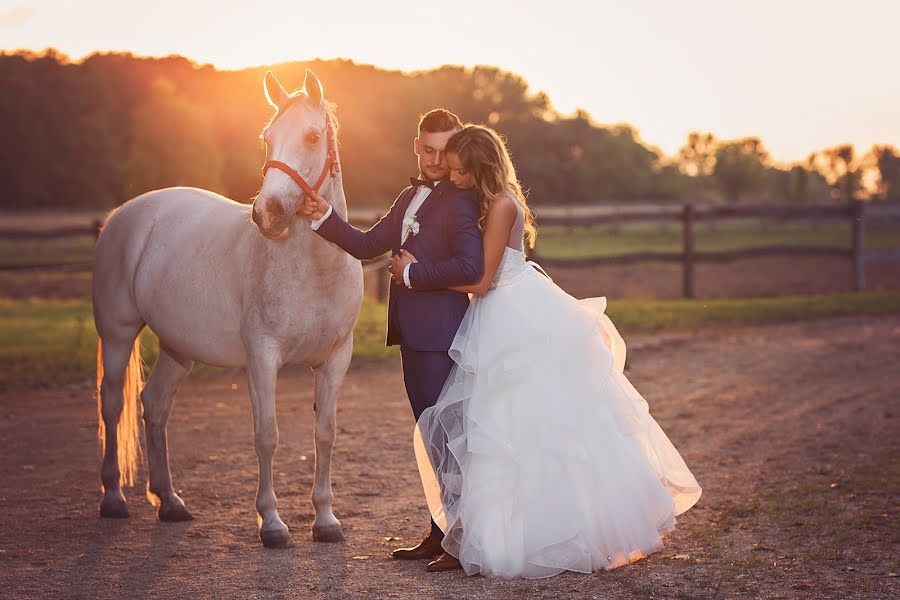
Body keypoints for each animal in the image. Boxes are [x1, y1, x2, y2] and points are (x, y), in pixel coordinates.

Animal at [94, 70, 362, 548]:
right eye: (266, 138)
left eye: (312, 136)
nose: (267, 213)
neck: (314, 269)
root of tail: (122, 216)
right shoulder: (262, 358)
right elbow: (267, 436)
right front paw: (271, 523)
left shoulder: (335, 360)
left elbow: (326, 435)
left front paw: (326, 520)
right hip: (118, 334)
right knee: (112, 406)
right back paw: (113, 498)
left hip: (178, 349)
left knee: (154, 405)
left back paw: (170, 502)